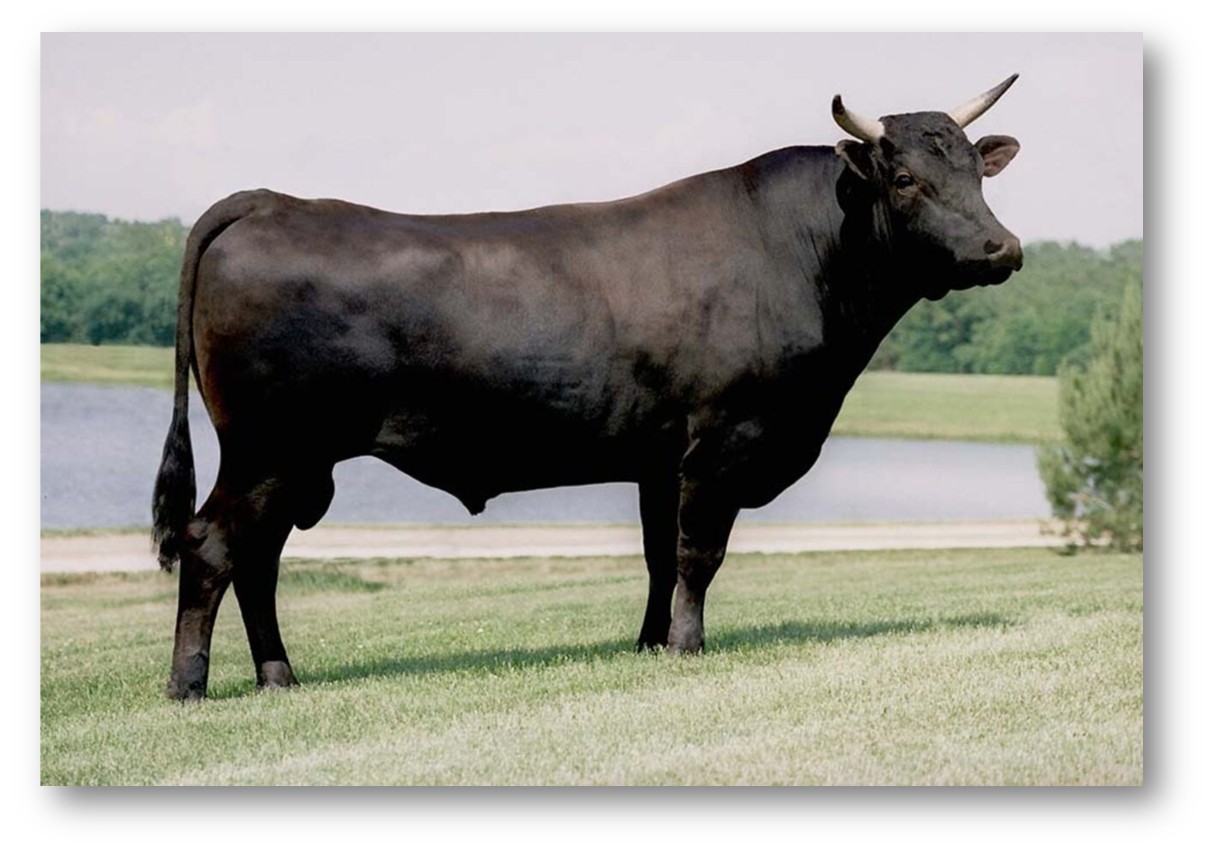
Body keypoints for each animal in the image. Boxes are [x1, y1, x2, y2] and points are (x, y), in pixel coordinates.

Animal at [153, 76, 1023, 700]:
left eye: (977, 173)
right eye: (904, 177)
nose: (1001, 248)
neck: (808, 252)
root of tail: (271, 201)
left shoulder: (661, 456)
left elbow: (658, 556)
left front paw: (648, 642)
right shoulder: (723, 440)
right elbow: (698, 551)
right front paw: (687, 646)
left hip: (291, 461)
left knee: (257, 559)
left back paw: (278, 676)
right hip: (269, 450)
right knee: (212, 546)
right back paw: (189, 684)